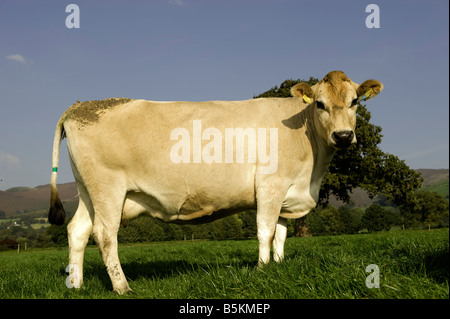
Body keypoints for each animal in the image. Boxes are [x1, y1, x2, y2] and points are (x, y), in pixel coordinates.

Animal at [49, 71, 384, 294]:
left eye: (355, 101)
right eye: (320, 104)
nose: (343, 136)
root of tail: (81, 105)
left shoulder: (286, 193)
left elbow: (280, 234)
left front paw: (278, 265)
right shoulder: (270, 186)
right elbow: (265, 231)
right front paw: (262, 269)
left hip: (87, 191)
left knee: (77, 230)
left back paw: (75, 284)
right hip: (108, 189)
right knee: (105, 235)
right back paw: (122, 287)